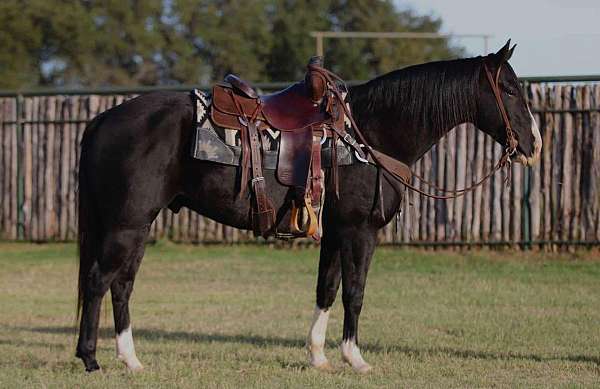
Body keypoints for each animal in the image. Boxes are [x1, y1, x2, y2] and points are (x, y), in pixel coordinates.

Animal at [76, 41, 544, 372]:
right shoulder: (359, 231)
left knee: (122, 285)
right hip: (127, 224)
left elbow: (327, 289)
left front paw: (318, 356)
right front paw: (355, 358)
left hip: (138, 226)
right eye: (508, 88)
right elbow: (355, 292)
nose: (534, 144)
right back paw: (91, 358)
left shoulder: (334, 232)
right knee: (100, 280)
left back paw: (131, 359)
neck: (370, 135)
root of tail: (105, 118)